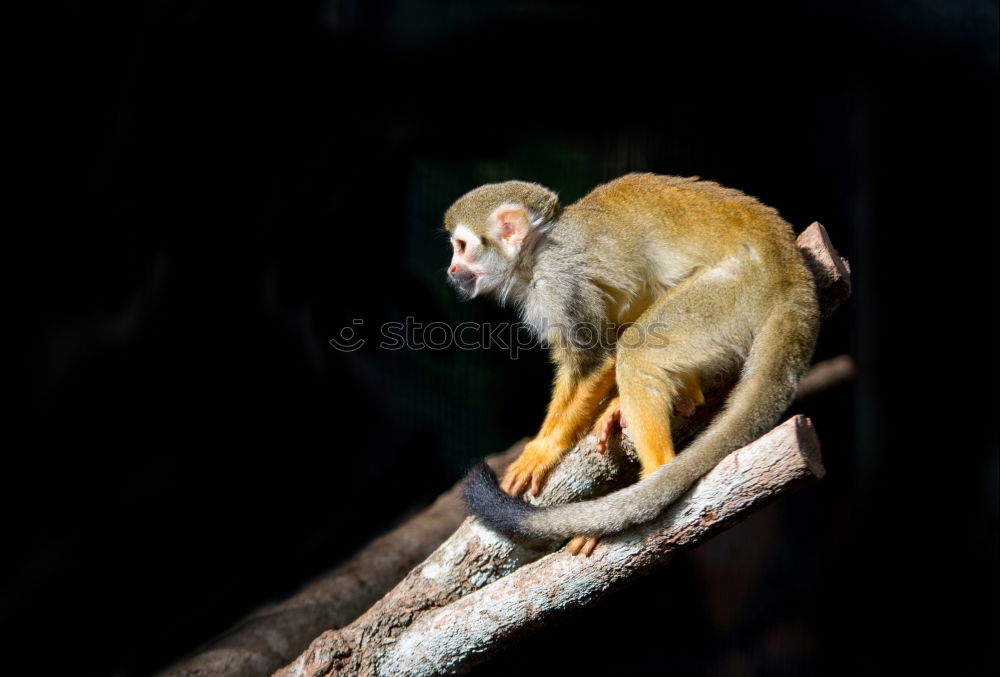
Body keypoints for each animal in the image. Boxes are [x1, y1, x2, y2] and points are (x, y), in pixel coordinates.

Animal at [446, 173, 820, 556]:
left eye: (461, 246)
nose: (451, 269)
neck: (536, 253)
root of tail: (788, 263)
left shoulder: (559, 282)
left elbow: (598, 360)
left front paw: (542, 450)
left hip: (733, 290)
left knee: (639, 352)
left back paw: (651, 479)